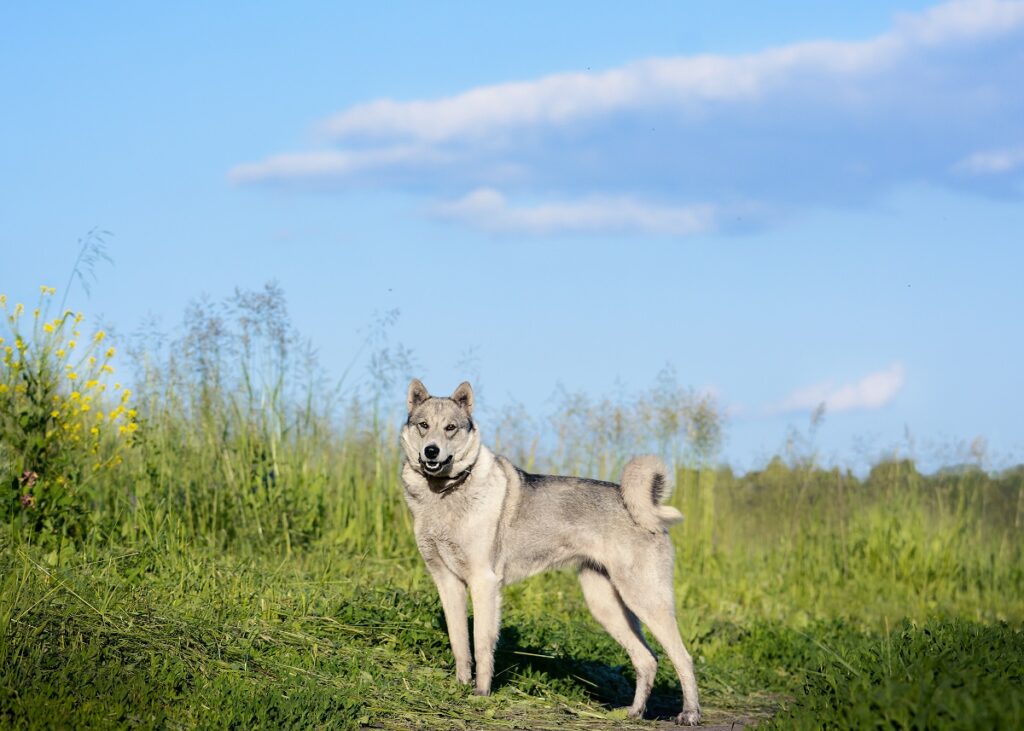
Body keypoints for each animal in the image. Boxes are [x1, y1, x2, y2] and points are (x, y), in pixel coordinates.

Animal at [395, 378, 700, 720]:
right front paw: (461, 688)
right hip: (606, 605)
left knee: (683, 658)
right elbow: (460, 643)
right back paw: (632, 713)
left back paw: (690, 714)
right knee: (647, 659)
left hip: (647, 600)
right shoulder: (447, 583)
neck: (445, 494)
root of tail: (646, 511)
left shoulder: (483, 583)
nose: (431, 451)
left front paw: (481, 695)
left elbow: (482, 645)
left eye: (450, 428)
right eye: (423, 425)